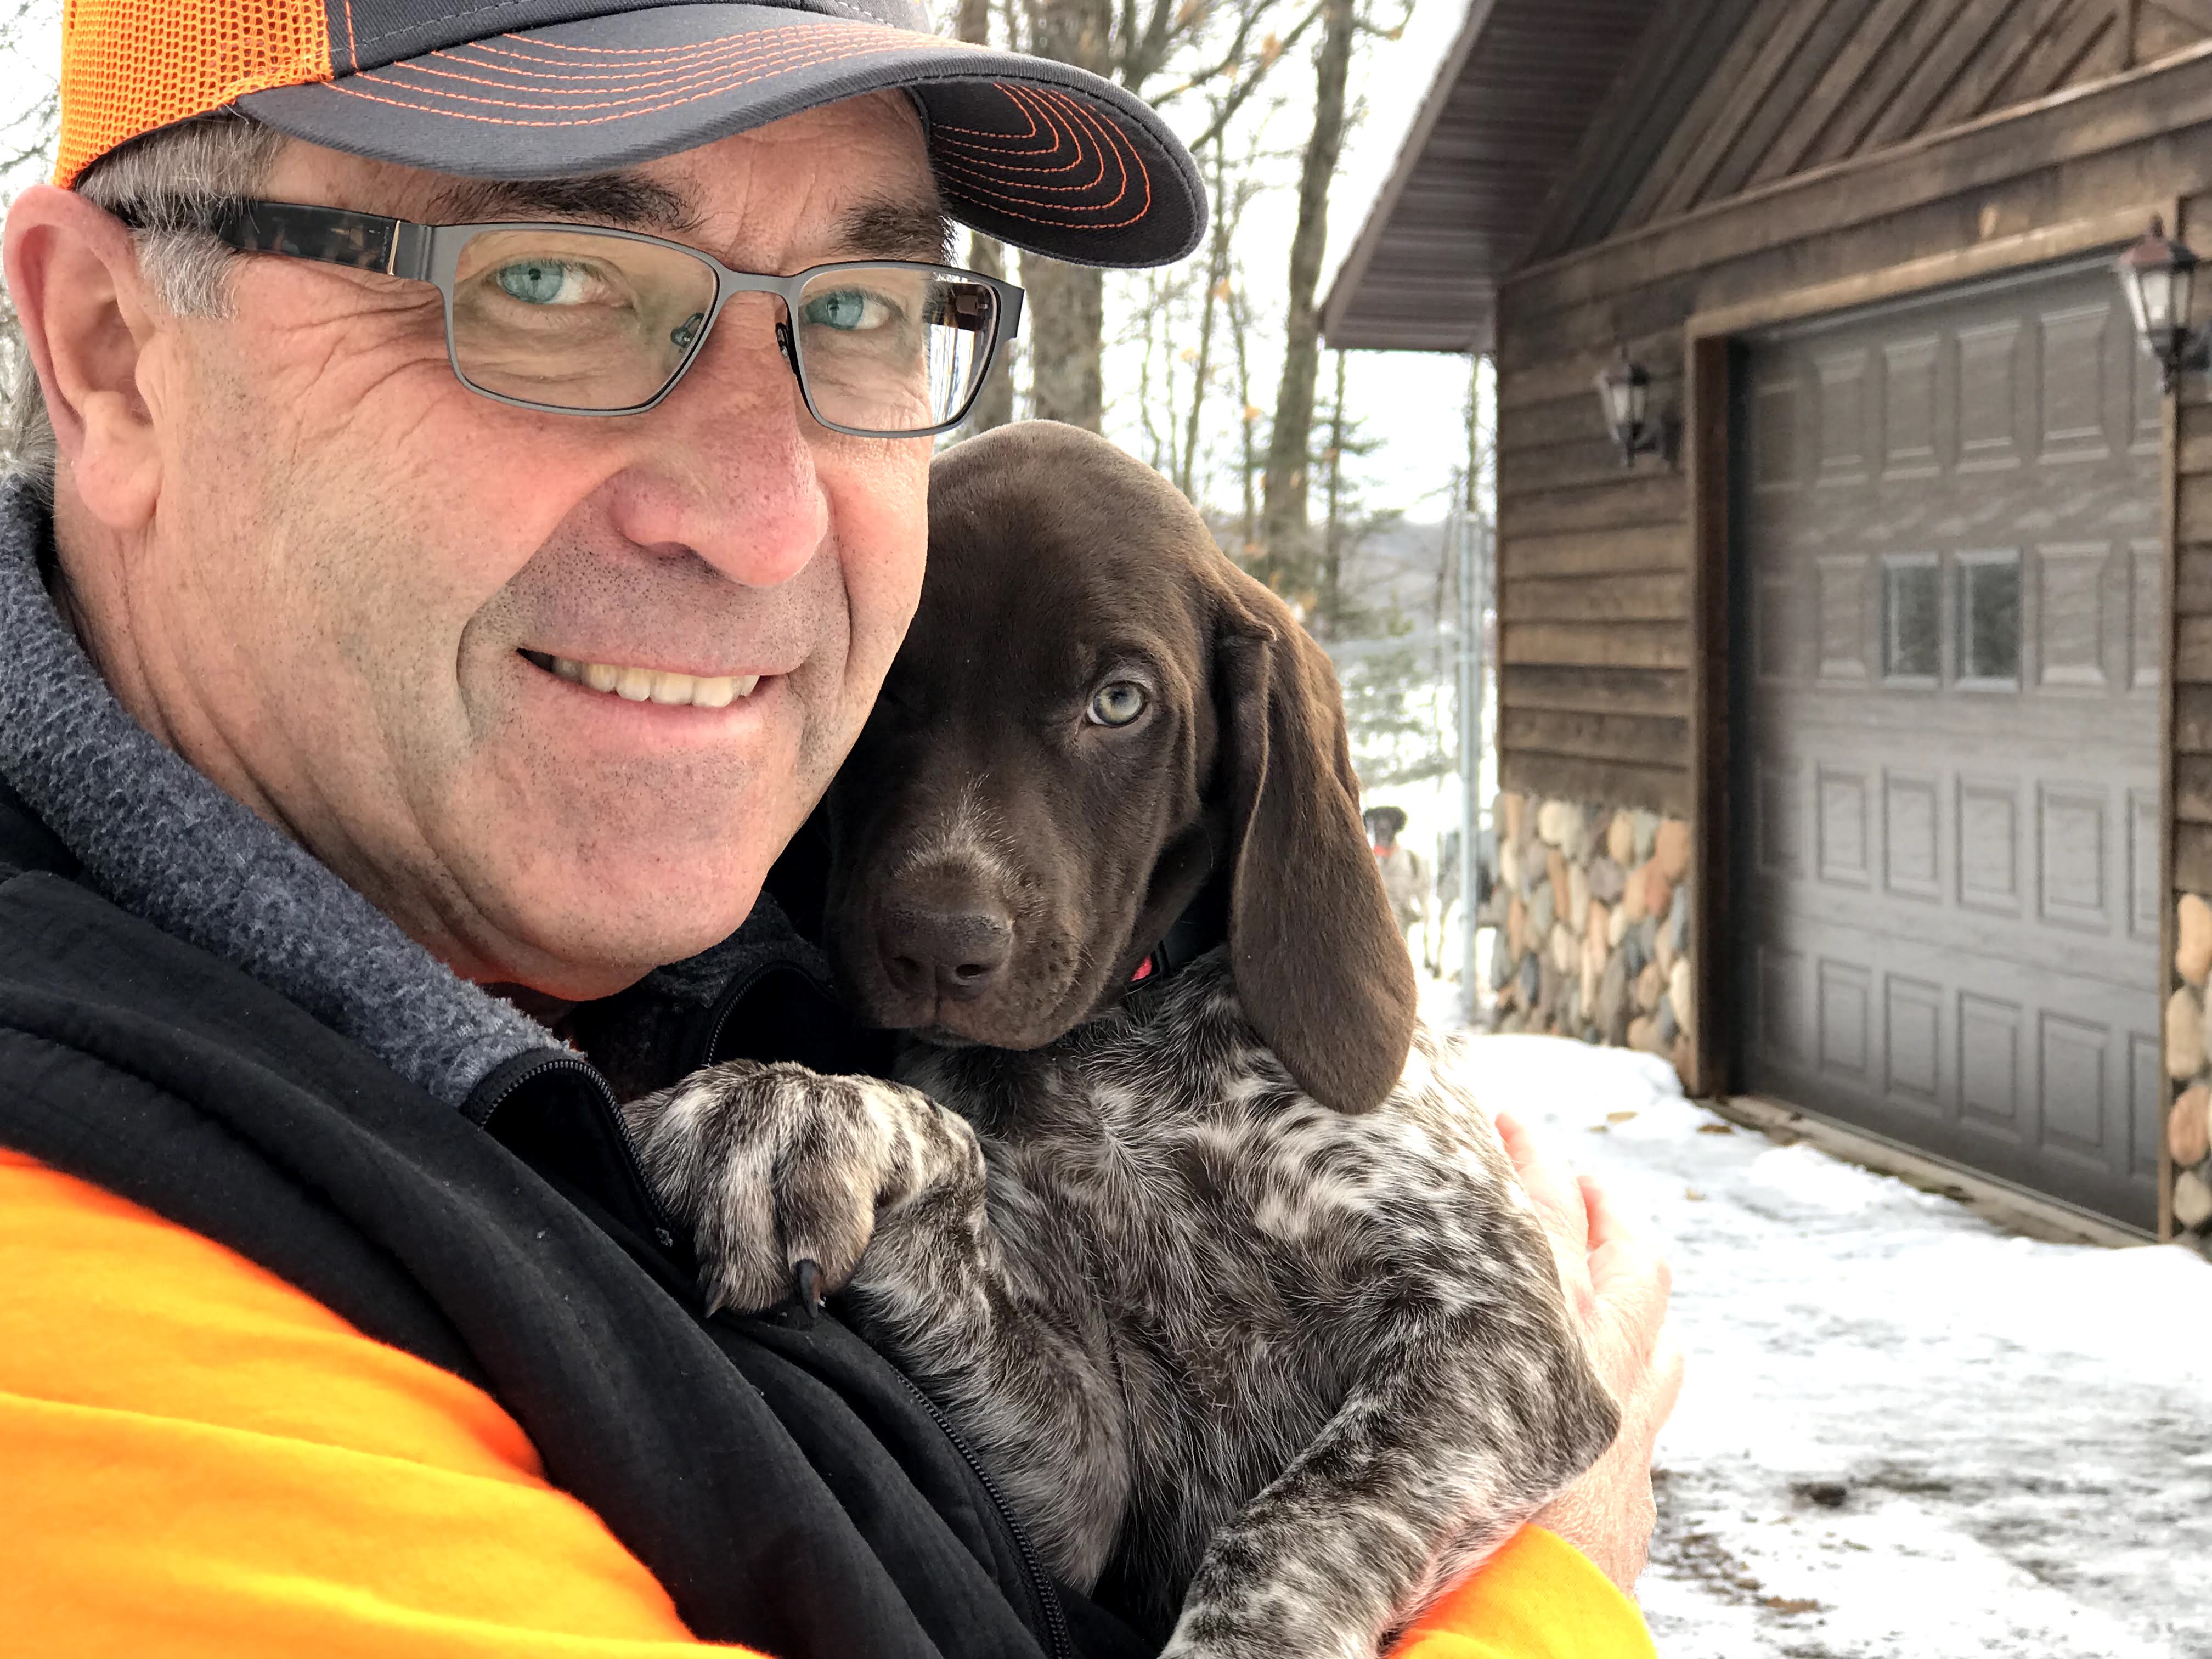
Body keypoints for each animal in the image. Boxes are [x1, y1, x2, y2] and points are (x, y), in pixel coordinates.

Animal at [621, 423, 1619, 1659]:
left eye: (1119, 701)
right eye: (890, 688)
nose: (940, 946)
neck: (1113, 1044)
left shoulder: (1499, 1333)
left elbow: (1296, 1523)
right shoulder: (1078, 1484)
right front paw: (800, 1106)